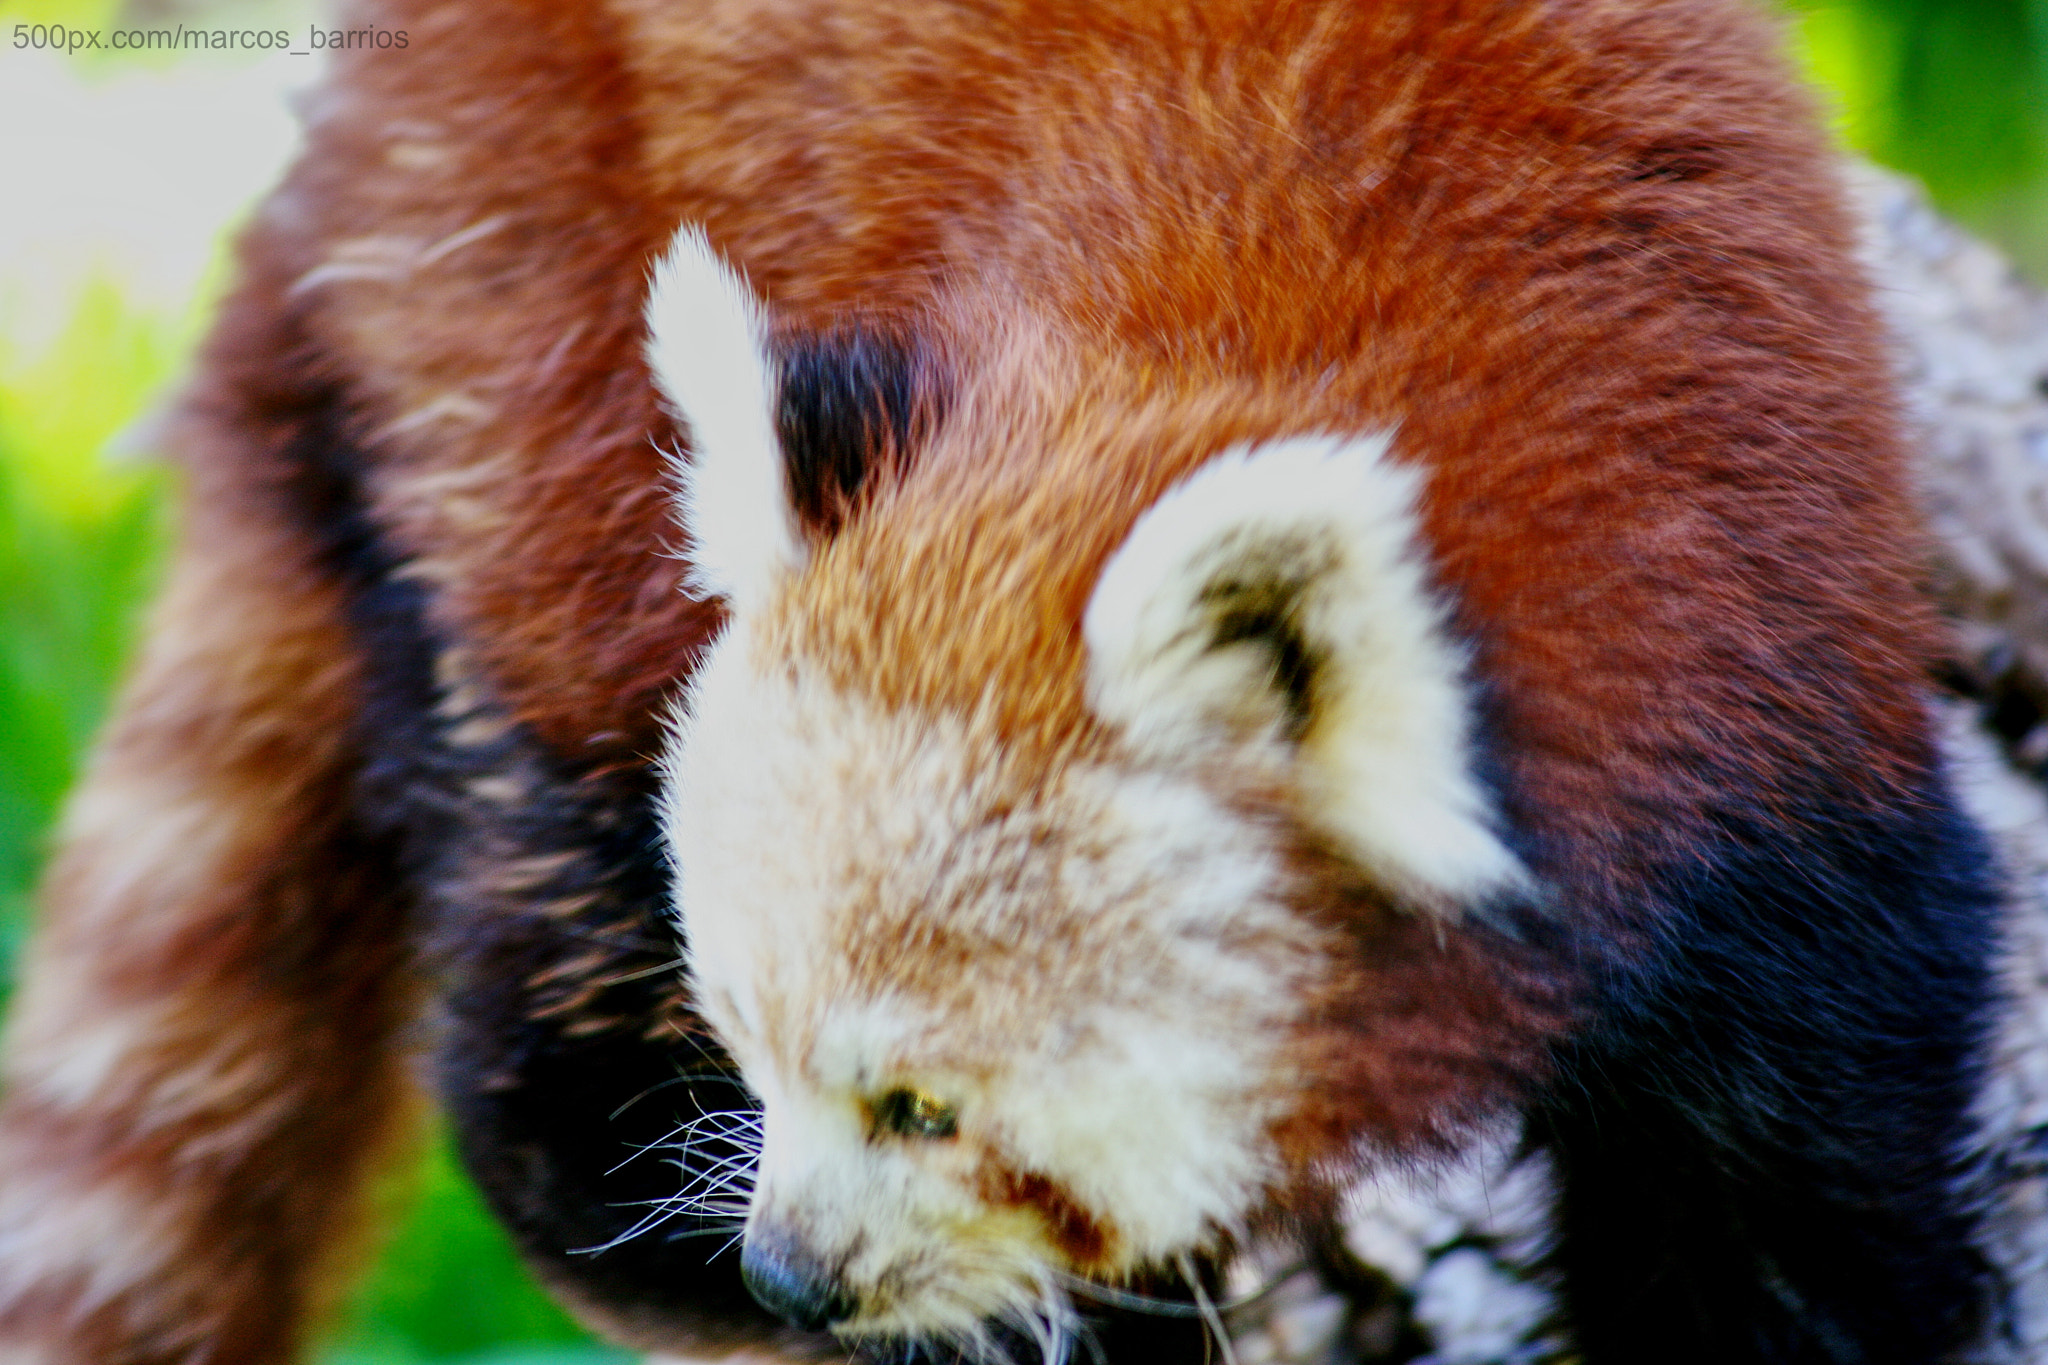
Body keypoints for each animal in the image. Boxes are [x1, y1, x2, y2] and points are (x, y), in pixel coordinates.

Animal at [0, 2, 1998, 1365]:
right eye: (739, 1040)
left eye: (924, 1108)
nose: (788, 1269)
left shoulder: (1773, 686)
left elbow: (1797, 1184)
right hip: (522, 272)